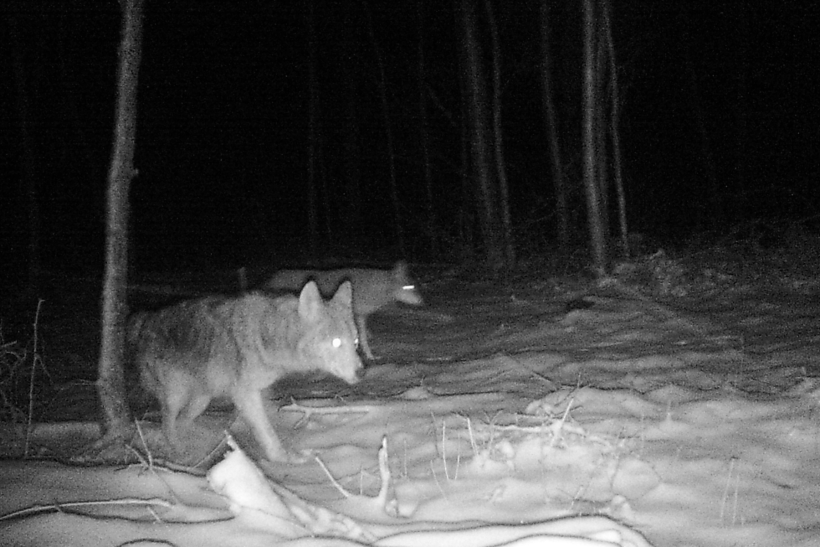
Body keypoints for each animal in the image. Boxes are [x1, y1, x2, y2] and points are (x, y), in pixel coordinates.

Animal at [126, 280, 360, 464]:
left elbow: (271, 424)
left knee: (181, 423)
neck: (269, 335)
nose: (361, 371)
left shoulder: (262, 391)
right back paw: (178, 453)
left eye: (356, 342)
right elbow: (267, 433)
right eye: (336, 342)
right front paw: (284, 460)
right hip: (177, 397)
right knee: (167, 425)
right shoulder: (245, 394)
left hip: (201, 401)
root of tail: (146, 320)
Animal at [264, 260, 422, 360]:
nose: (422, 301)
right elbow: (362, 338)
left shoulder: (360, 316)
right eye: (409, 287)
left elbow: (362, 336)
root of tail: (273, 277)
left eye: (413, 286)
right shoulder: (356, 315)